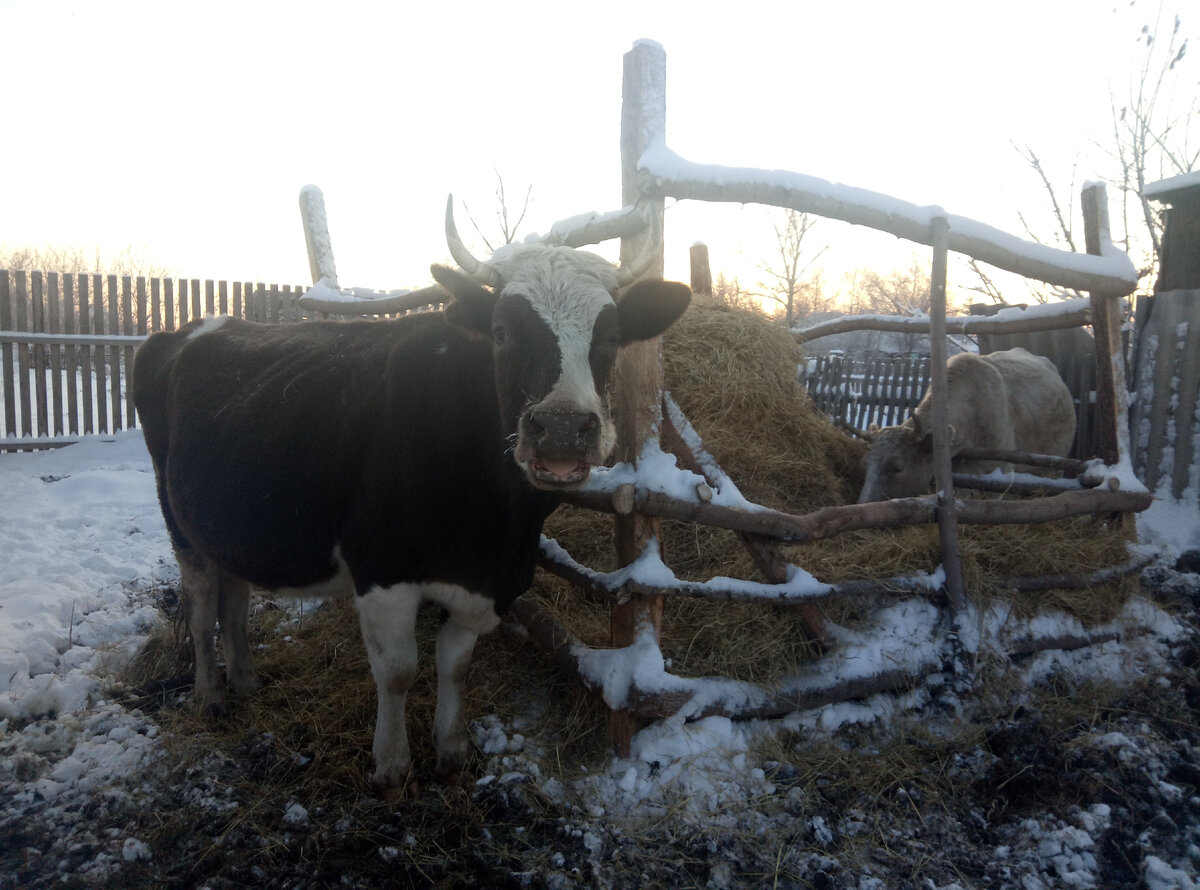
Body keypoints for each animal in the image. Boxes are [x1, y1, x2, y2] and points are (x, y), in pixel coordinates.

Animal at [132, 211, 691, 796]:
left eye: (612, 337)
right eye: (501, 333)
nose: (561, 428)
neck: (495, 526)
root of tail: (186, 330)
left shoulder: (487, 584)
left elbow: (455, 665)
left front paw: (451, 750)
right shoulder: (383, 571)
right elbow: (398, 670)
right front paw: (392, 764)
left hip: (230, 519)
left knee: (234, 593)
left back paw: (244, 680)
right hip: (176, 516)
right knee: (199, 602)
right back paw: (211, 695)